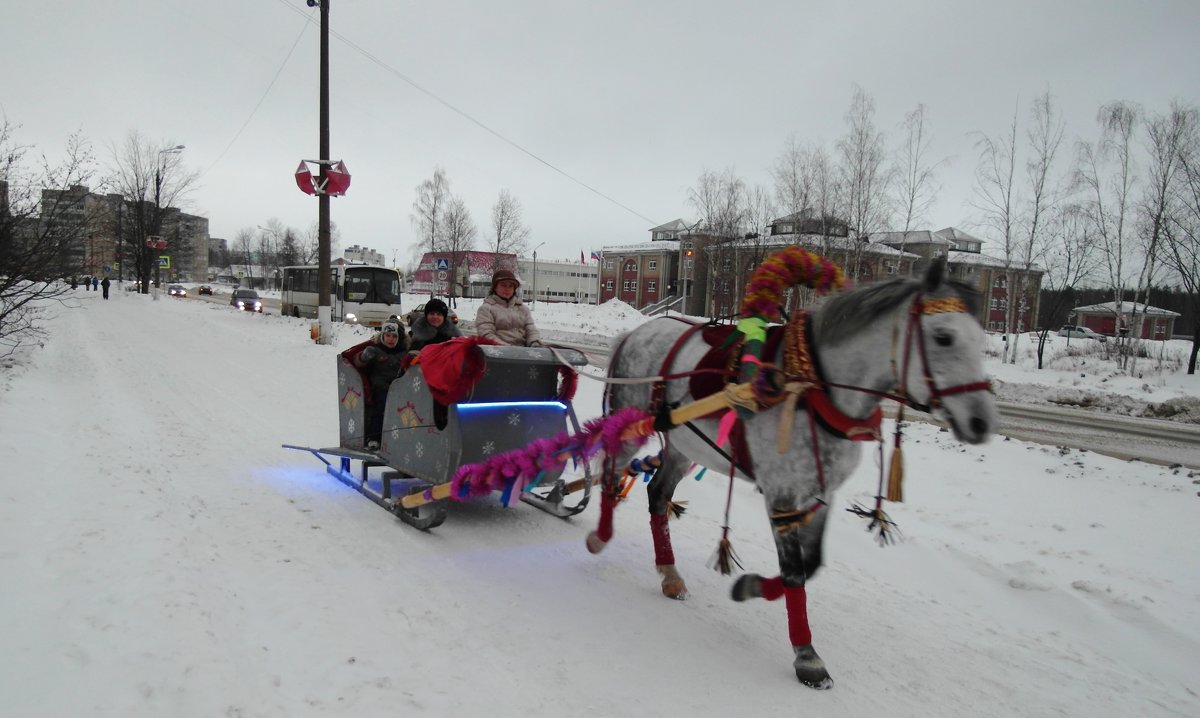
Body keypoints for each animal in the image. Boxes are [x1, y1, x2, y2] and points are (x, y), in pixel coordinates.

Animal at [588, 260, 993, 691]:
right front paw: (807, 656)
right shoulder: (781, 495)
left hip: (685, 445)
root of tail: (636, 333)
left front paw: (750, 587)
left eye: (980, 339)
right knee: (611, 474)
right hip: (630, 427)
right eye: (944, 336)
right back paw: (600, 535)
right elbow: (795, 572)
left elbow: (810, 565)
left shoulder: (820, 493)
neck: (813, 388)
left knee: (658, 497)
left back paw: (669, 573)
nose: (982, 422)